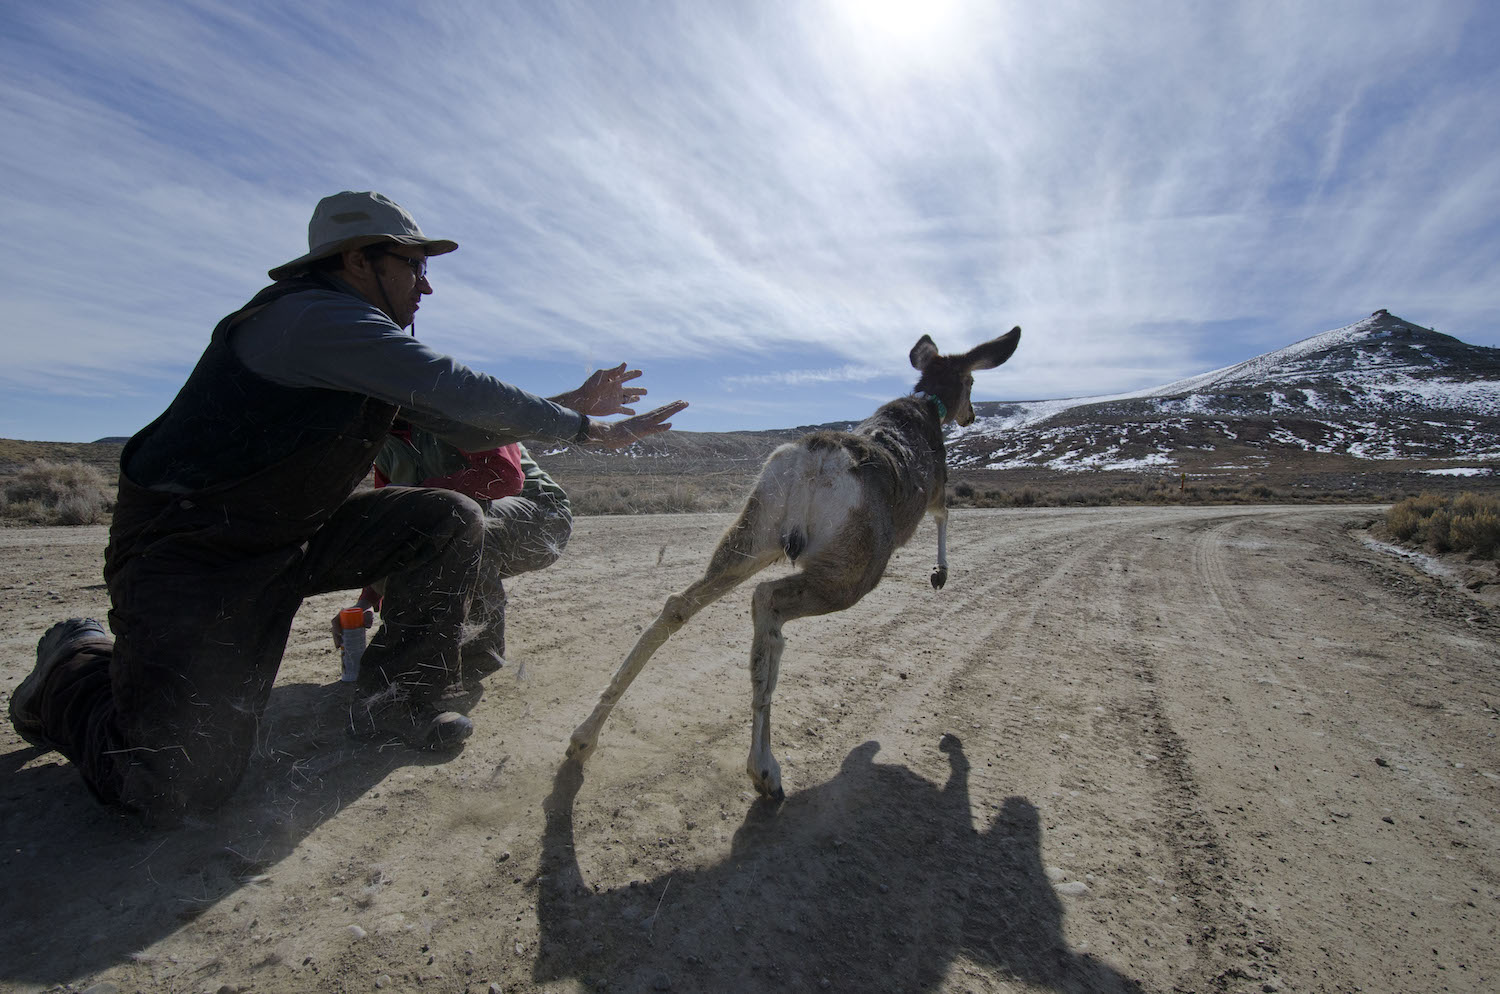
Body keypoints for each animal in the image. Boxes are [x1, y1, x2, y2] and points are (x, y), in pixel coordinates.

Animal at [564, 328, 1020, 803]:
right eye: (972, 383)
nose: (970, 415)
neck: (927, 408)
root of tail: (813, 461)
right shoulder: (937, 487)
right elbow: (946, 514)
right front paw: (940, 573)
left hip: (751, 536)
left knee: (679, 604)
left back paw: (584, 737)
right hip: (853, 571)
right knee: (767, 602)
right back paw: (764, 769)